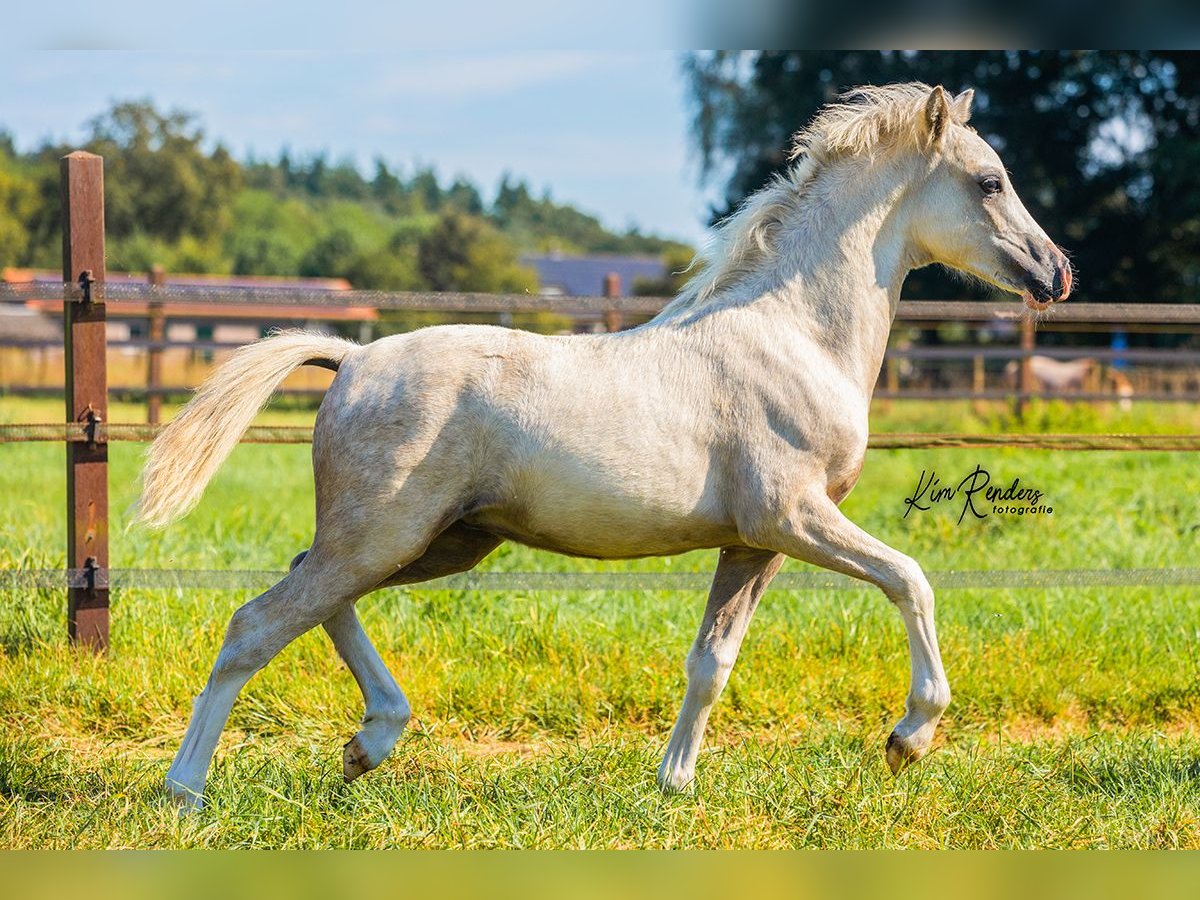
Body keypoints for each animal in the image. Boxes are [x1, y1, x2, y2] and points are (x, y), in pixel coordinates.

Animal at [138, 82, 1070, 811]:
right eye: (989, 180)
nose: (1056, 273)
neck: (794, 336)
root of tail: (355, 357)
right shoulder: (793, 516)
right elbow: (910, 579)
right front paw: (909, 736)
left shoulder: (751, 543)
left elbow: (711, 660)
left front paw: (675, 784)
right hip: (385, 536)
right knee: (258, 623)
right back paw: (187, 790)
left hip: (437, 544)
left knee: (314, 594)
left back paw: (370, 743)